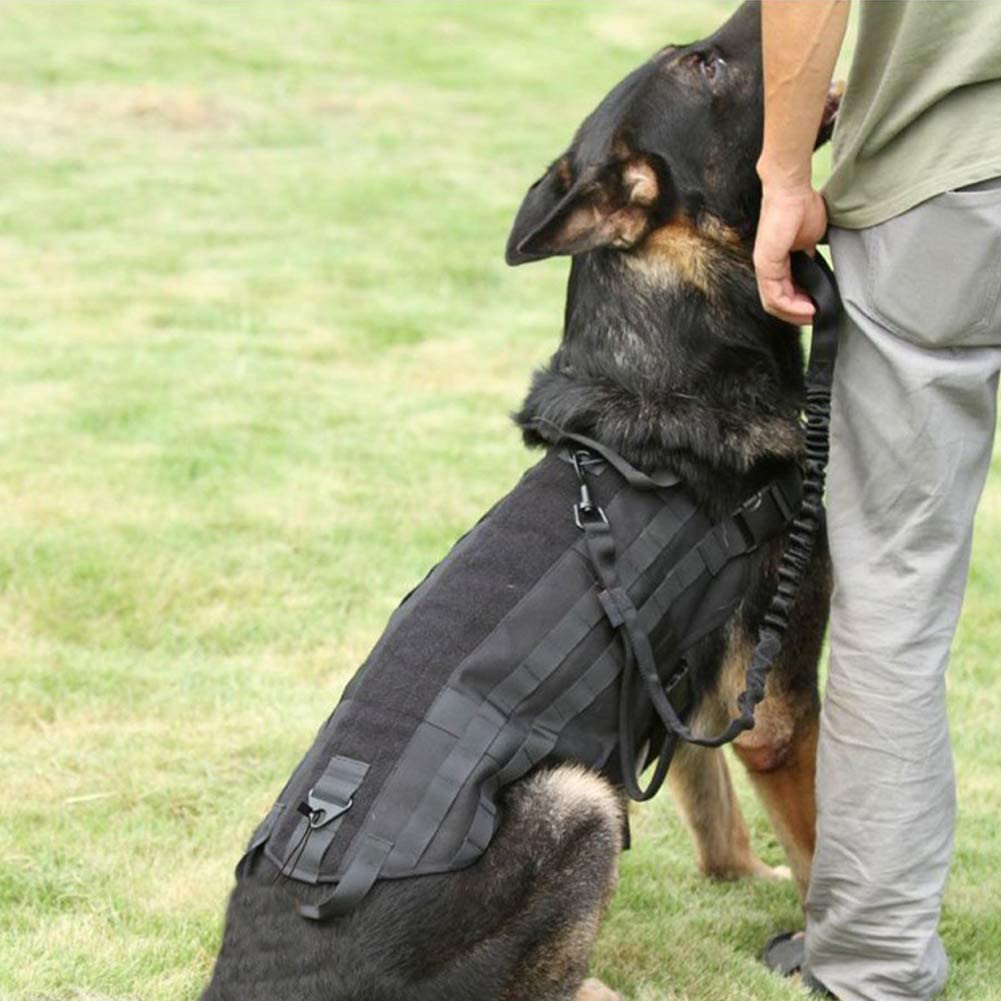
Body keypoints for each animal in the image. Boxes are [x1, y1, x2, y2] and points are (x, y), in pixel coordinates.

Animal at [201, 3, 836, 996]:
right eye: (702, 66)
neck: (661, 350)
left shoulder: (683, 681)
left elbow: (712, 809)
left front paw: (741, 877)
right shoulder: (770, 704)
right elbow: (814, 848)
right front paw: (819, 945)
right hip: (576, 799)